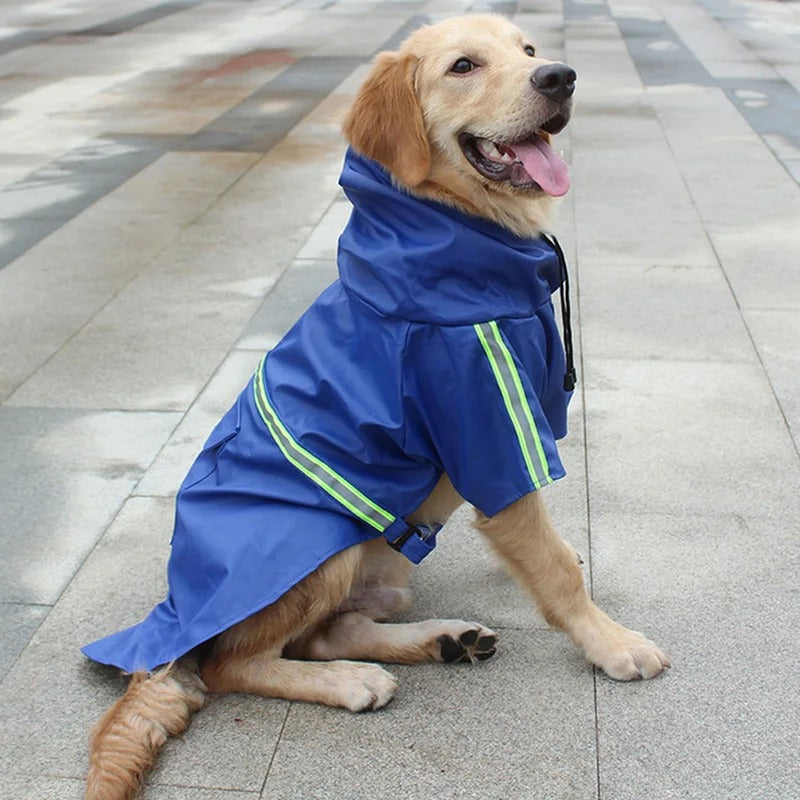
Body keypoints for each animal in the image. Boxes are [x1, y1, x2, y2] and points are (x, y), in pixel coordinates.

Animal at [83, 14, 668, 800]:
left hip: (387, 567)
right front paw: (613, 644)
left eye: (529, 51)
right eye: (463, 66)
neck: (460, 242)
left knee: (329, 631)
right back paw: (352, 682)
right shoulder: (489, 426)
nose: (561, 77)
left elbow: (545, 547)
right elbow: (552, 567)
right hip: (320, 543)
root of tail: (173, 619)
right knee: (235, 664)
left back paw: (443, 641)